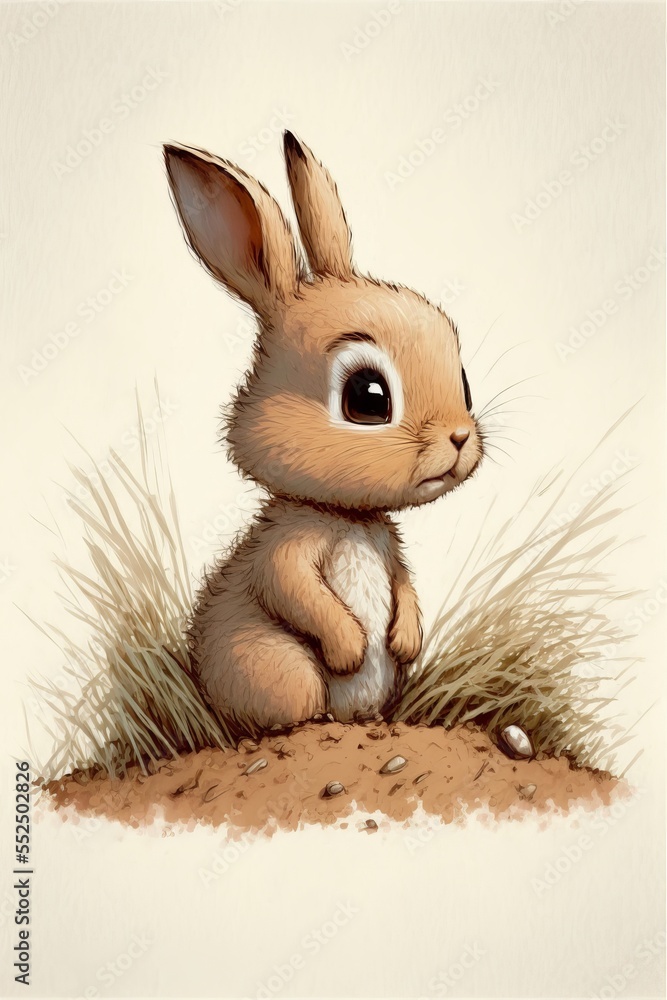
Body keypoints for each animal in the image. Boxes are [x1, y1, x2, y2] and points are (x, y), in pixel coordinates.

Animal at [164, 131, 483, 735]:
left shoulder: (391, 549)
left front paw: (407, 639)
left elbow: (404, 585)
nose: (459, 438)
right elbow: (293, 589)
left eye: (466, 384)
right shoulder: (285, 552)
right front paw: (349, 648)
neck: (349, 518)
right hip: (279, 669)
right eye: (368, 398)